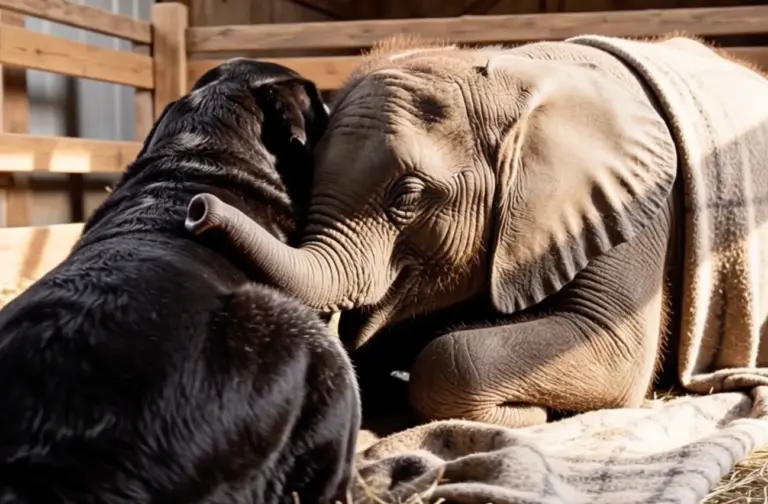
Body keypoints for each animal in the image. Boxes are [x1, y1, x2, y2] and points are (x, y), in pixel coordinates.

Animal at [182, 35, 768, 428]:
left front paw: (529, 415)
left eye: (407, 197)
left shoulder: (637, 204)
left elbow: (609, 345)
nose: (197, 208)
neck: (514, 70)